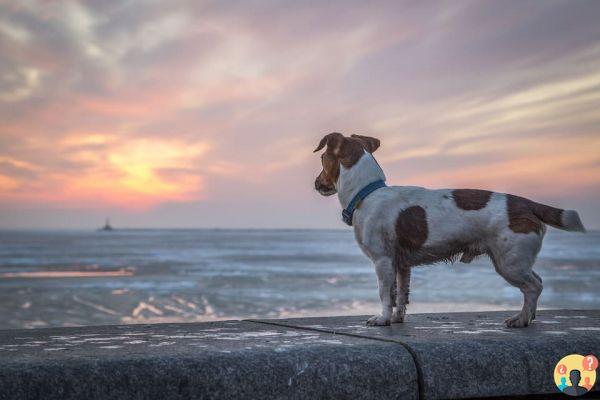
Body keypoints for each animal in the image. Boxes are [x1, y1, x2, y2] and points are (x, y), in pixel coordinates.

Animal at [314, 133, 584, 326]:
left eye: (321, 159)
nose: (316, 184)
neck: (367, 193)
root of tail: (526, 203)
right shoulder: (401, 265)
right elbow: (400, 294)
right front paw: (397, 318)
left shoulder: (382, 260)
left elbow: (384, 293)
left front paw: (382, 319)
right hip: (514, 260)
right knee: (536, 282)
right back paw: (531, 316)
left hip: (510, 263)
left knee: (534, 287)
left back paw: (522, 319)